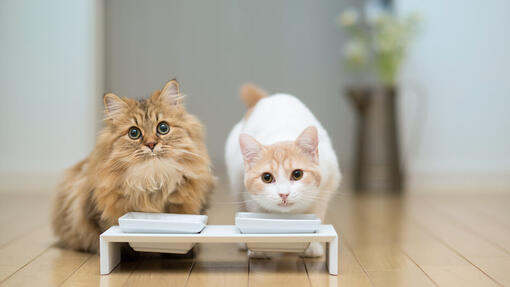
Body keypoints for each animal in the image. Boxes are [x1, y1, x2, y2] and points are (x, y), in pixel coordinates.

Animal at [225, 84, 340, 258]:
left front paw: (312, 246)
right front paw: (259, 249)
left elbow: (317, 216)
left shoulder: (326, 187)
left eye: (297, 174)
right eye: (266, 177)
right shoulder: (249, 195)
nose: (284, 194)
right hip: (235, 181)